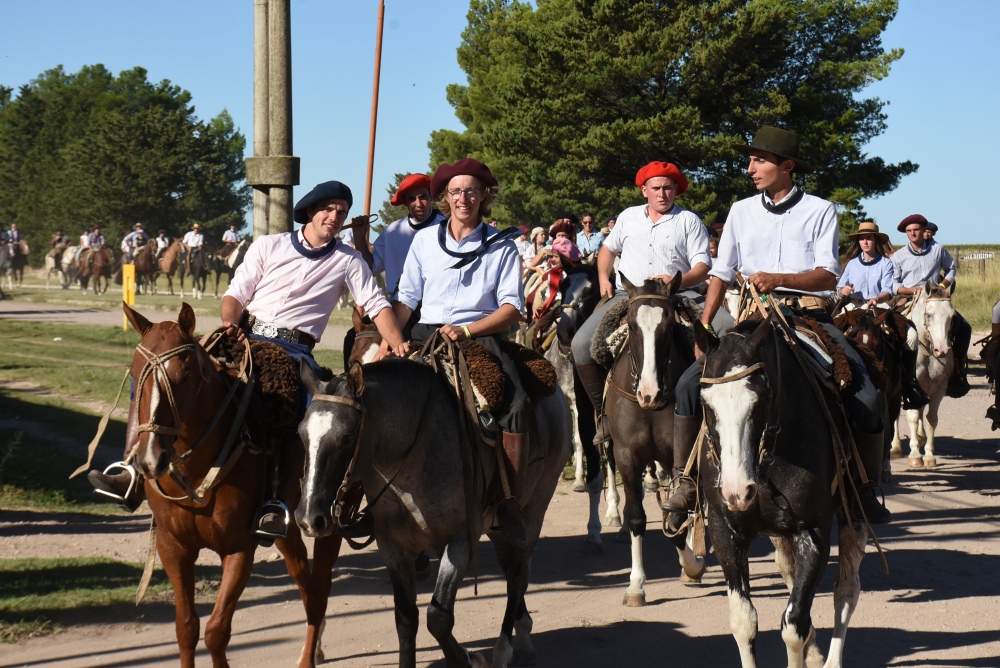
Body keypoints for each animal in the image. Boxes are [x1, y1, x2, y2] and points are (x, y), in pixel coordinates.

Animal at [120, 304, 340, 668]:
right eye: (135, 372)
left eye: (185, 376)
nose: (150, 460)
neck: (198, 472)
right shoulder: (172, 547)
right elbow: (186, 628)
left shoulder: (238, 550)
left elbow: (216, 631)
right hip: (288, 530)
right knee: (306, 584)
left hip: (328, 523)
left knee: (319, 591)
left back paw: (309, 657)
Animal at [294, 360, 572, 668]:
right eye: (301, 433)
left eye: (347, 437)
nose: (309, 519)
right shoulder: (393, 547)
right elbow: (405, 619)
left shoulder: (461, 541)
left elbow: (438, 617)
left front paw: (468, 659)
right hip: (497, 526)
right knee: (511, 569)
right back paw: (522, 629)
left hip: (533, 511)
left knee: (518, 574)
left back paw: (504, 648)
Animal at [696, 314, 868, 668]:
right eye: (706, 402)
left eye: (761, 397)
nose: (736, 491)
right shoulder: (724, 530)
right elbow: (744, 621)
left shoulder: (813, 532)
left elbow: (794, 625)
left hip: (853, 513)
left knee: (846, 590)